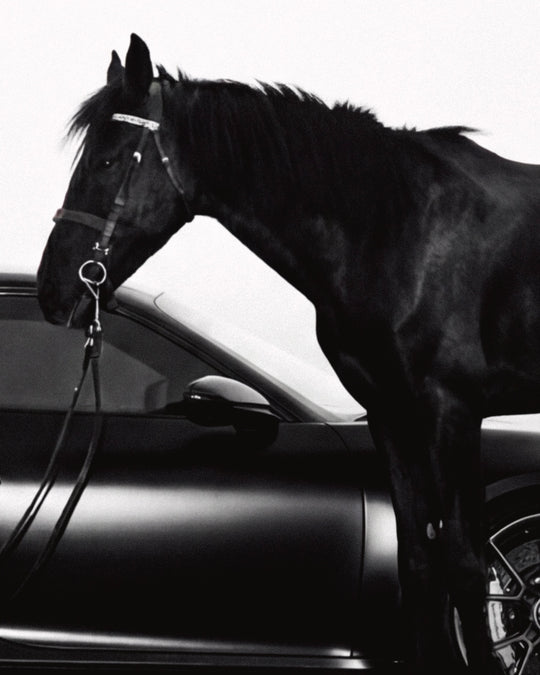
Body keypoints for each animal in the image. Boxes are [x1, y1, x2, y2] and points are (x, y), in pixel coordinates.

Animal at [37, 33, 538, 674]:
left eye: (104, 161)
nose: (53, 290)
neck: (400, 229)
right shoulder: (393, 417)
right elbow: (419, 563)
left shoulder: (453, 413)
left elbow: (468, 569)